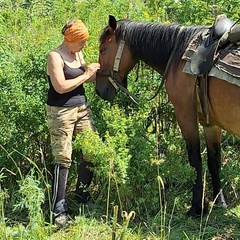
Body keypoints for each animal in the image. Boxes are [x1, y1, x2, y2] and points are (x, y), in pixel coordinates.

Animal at [95, 15, 240, 218]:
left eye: (103, 49)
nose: (99, 90)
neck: (177, 54)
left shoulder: (185, 114)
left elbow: (195, 160)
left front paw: (196, 208)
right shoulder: (210, 123)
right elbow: (214, 161)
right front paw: (220, 202)